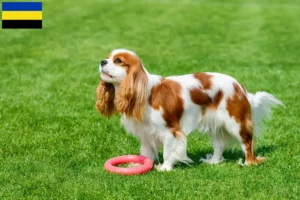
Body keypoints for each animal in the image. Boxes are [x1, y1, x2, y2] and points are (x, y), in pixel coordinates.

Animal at [96, 48, 284, 170]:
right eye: (107, 57)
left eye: (118, 61)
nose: (102, 61)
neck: (144, 92)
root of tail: (240, 87)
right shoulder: (145, 133)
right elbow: (146, 152)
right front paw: (138, 164)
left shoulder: (170, 131)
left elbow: (168, 151)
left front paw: (165, 168)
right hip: (216, 124)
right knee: (219, 145)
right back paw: (213, 161)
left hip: (235, 122)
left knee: (247, 142)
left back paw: (249, 163)